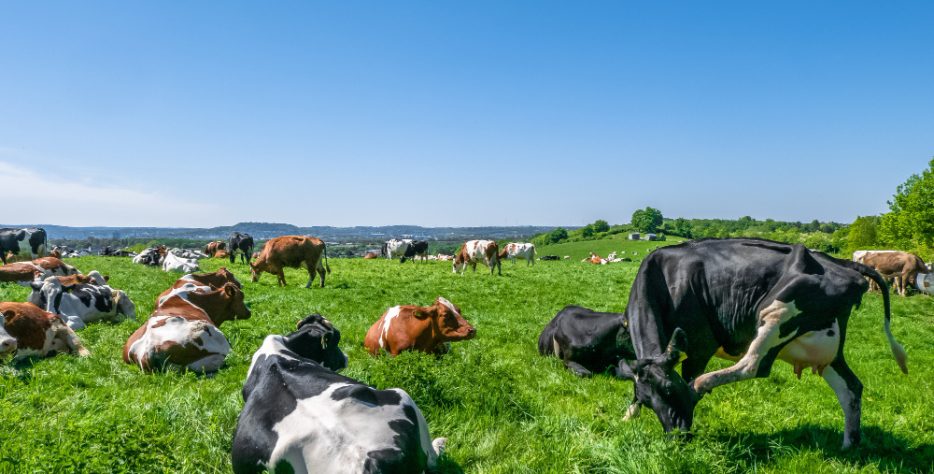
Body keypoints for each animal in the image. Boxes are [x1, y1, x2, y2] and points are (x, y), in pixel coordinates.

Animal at [232, 314, 446, 474]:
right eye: (336, 340)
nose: (346, 357)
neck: (276, 352)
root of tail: (365, 461)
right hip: (403, 394)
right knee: (432, 458)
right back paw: (439, 444)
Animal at [614, 238, 908, 449]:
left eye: (669, 390)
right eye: (648, 402)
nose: (677, 436)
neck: (665, 278)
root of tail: (841, 263)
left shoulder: (699, 346)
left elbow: (688, 377)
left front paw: (690, 394)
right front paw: (627, 416)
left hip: (776, 311)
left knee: (753, 365)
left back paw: (702, 384)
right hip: (827, 349)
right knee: (851, 387)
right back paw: (849, 445)